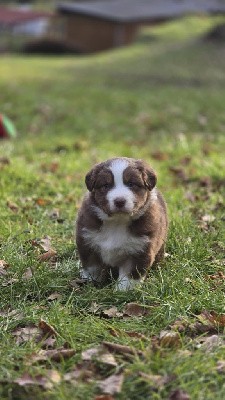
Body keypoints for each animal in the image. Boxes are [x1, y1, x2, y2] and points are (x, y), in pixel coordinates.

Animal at [75, 157, 167, 290]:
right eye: (106, 185)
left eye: (131, 184)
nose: (119, 201)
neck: (117, 222)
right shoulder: (87, 241)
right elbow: (93, 267)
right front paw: (91, 283)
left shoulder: (140, 249)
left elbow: (129, 276)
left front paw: (123, 291)